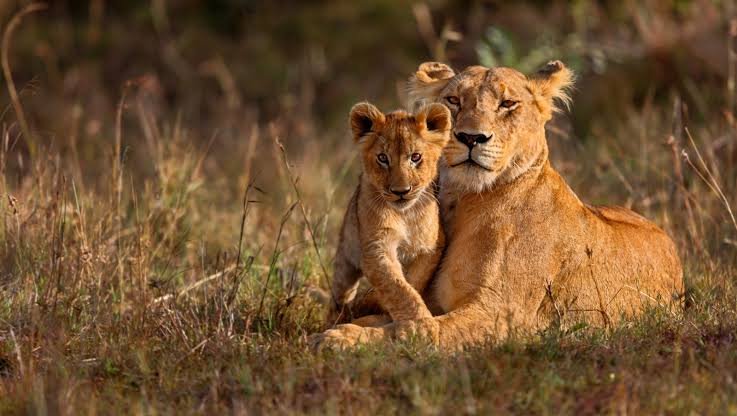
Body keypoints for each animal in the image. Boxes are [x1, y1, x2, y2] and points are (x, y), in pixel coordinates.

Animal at [326, 101, 451, 327]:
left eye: (415, 157)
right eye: (383, 158)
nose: (401, 191)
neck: (405, 215)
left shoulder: (431, 247)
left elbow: (412, 281)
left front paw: (378, 304)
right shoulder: (376, 247)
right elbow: (397, 287)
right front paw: (421, 325)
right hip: (345, 258)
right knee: (340, 294)